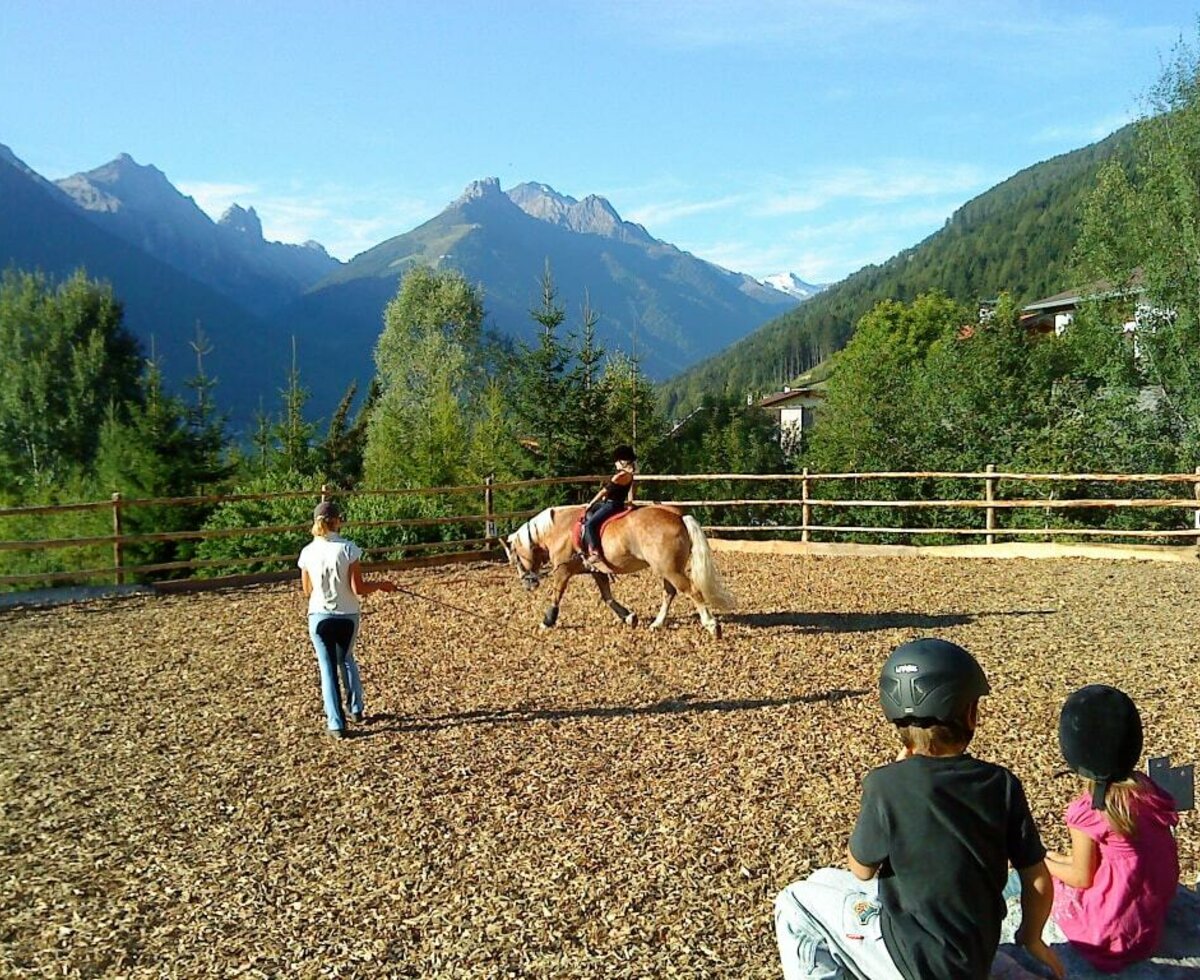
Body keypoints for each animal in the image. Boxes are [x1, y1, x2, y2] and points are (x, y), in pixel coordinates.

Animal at [501, 503, 734, 633]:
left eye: (516, 559)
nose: (528, 584)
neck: (560, 529)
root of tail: (678, 517)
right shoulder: (597, 571)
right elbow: (608, 597)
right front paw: (629, 617)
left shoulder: (562, 571)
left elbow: (556, 595)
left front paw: (547, 621)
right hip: (666, 569)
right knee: (670, 593)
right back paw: (657, 624)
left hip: (670, 570)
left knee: (692, 591)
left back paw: (711, 625)